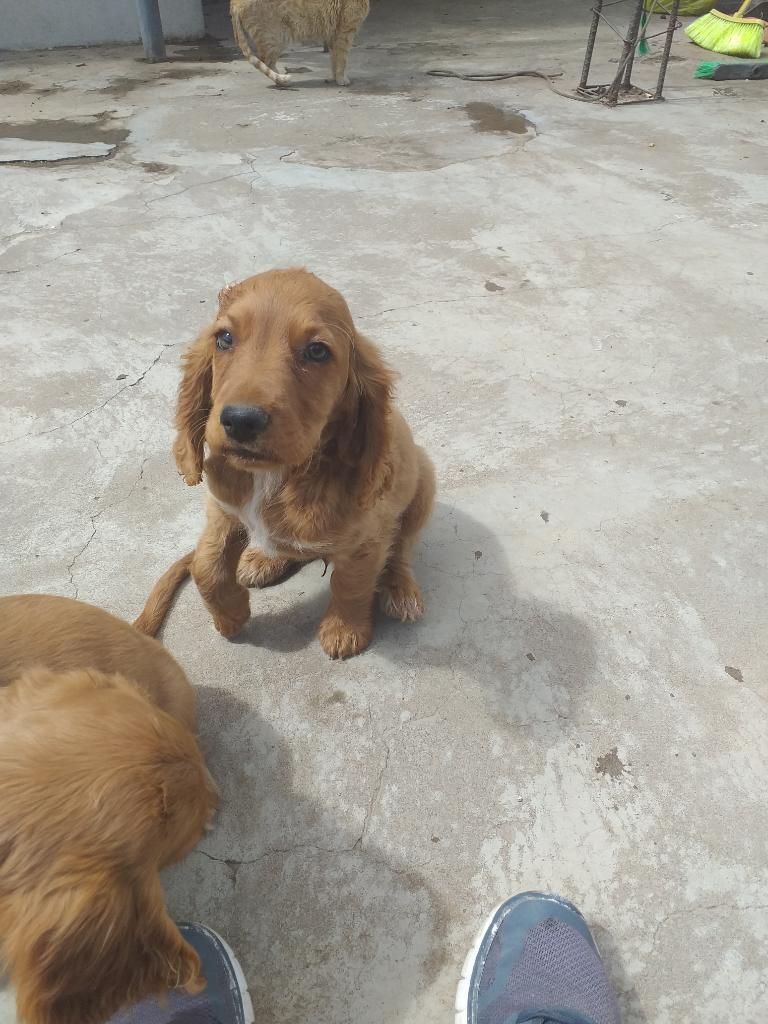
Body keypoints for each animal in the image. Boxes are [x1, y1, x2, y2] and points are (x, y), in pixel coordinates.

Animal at [157, 268, 434, 659]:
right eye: (224, 338)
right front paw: (230, 617)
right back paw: (262, 558)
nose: (241, 421)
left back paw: (401, 590)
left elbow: (351, 584)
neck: (277, 477)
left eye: (317, 351)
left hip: (423, 486)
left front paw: (345, 630)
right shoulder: (222, 508)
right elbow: (205, 566)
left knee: (402, 549)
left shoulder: (367, 538)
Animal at [230, 0, 370, 87]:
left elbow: (334, 60)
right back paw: (282, 80)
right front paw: (341, 79)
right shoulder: (345, 33)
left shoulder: (333, 36)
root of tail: (234, 4)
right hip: (276, 38)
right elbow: (342, 60)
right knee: (266, 62)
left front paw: (335, 78)